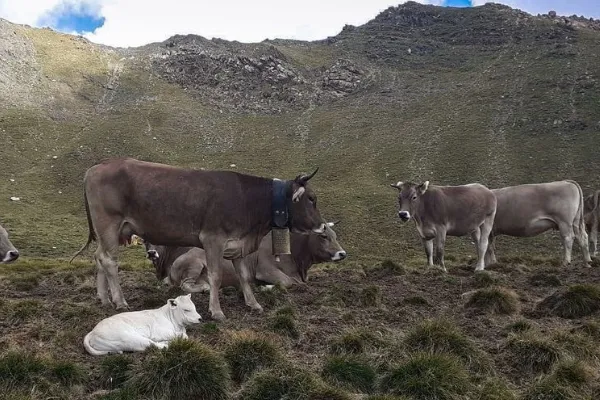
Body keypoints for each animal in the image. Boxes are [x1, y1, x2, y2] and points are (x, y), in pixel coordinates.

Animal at [144, 223, 346, 292]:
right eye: (323, 236)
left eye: (335, 235)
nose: (342, 253)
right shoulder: (265, 269)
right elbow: (287, 282)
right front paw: (265, 287)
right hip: (194, 263)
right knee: (185, 285)